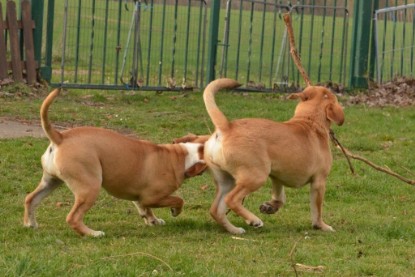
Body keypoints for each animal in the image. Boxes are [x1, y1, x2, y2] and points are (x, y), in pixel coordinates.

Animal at [24, 89, 206, 236]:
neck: (183, 155)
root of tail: (60, 137)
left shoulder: (140, 197)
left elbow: (145, 209)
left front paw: (153, 221)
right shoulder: (152, 197)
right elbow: (178, 199)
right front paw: (175, 211)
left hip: (51, 181)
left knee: (31, 198)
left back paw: (30, 224)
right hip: (90, 187)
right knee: (73, 218)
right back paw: (93, 234)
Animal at [202, 77, 344, 233]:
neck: (310, 121)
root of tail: (226, 127)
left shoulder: (277, 177)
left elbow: (279, 198)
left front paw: (270, 207)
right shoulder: (319, 182)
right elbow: (317, 210)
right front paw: (322, 226)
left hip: (226, 181)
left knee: (215, 210)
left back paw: (234, 230)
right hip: (256, 177)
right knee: (231, 199)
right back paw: (254, 220)